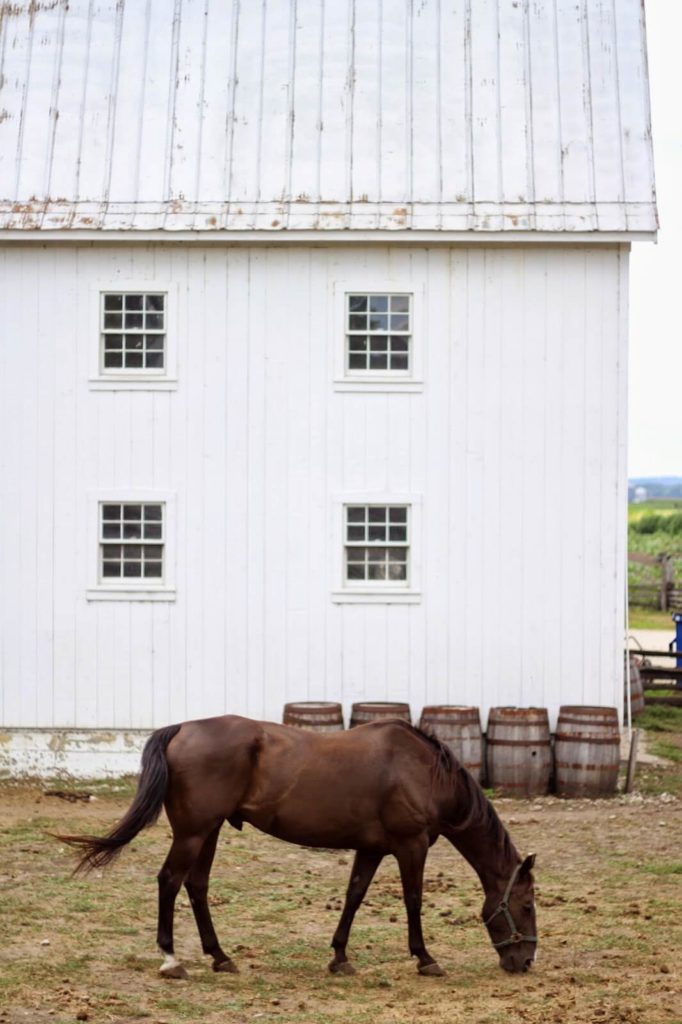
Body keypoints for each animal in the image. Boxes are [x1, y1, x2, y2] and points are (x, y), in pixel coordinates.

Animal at [57, 716, 536, 978]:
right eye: (528, 904)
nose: (525, 960)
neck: (423, 771)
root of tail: (181, 730)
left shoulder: (372, 849)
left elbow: (354, 896)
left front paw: (339, 957)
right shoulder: (410, 845)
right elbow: (414, 900)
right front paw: (424, 958)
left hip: (209, 832)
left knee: (196, 886)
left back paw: (220, 956)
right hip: (194, 832)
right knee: (170, 881)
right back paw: (172, 960)